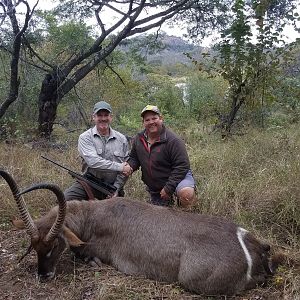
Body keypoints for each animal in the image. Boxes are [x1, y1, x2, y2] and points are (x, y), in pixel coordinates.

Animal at [0, 169, 282, 296]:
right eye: (35, 247)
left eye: (55, 244)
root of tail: (251, 244)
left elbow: (85, 253)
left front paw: (91, 261)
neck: (93, 216)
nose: (43, 275)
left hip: (193, 279)